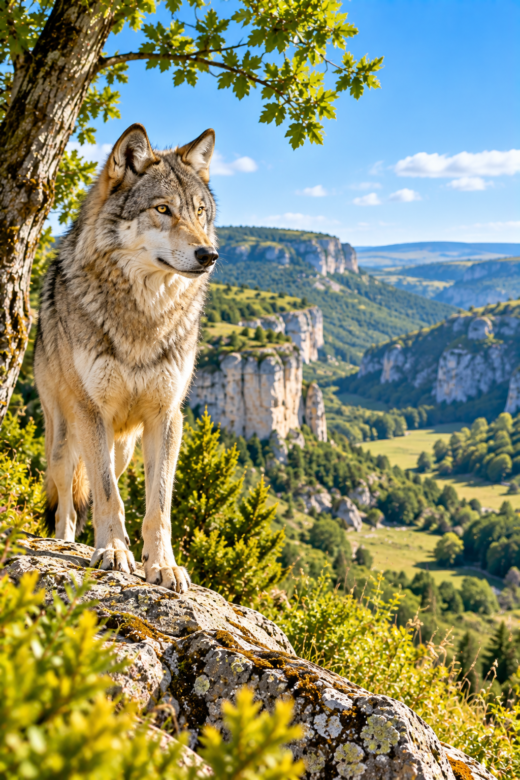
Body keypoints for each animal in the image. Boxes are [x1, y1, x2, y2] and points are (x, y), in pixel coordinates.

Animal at [34, 123, 218, 593]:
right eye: (162, 209)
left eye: (200, 213)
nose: (209, 255)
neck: (143, 316)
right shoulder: (91, 411)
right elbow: (106, 497)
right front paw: (114, 552)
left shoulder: (166, 417)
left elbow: (158, 507)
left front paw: (163, 565)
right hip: (65, 439)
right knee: (68, 502)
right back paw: (66, 543)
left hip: (123, 448)